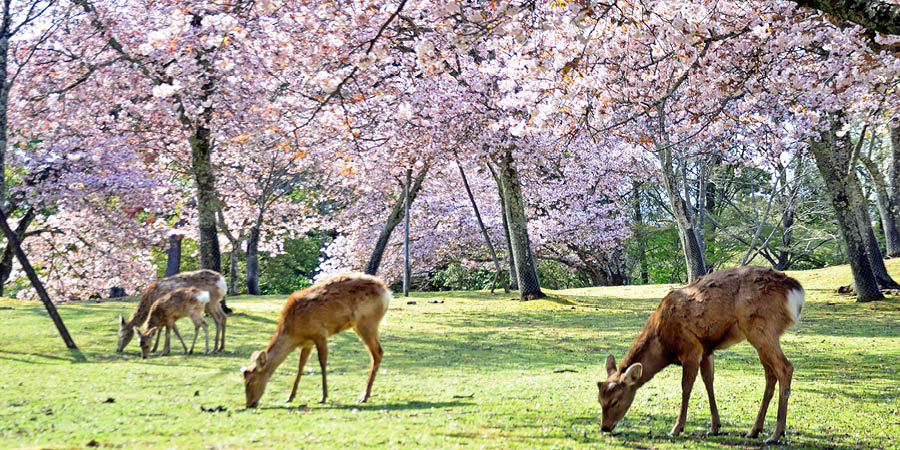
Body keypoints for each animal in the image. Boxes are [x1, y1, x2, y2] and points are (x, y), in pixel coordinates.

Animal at [241, 272, 392, 410]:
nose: (249, 404)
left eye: (249, 381)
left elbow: (322, 363)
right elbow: (300, 366)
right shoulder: (308, 343)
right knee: (377, 353)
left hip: (366, 322)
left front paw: (323, 397)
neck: (293, 333)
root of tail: (387, 293)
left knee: (377, 352)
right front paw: (290, 396)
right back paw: (366, 394)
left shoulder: (320, 333)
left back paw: (363, 396)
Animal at [596, 266, 800, 444]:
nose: (604, 427)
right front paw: (715, 427)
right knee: (770, 374)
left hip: (761, 327)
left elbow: (686, 386)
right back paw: (754, 431)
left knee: (785, 368)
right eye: (599, 400)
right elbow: (708, 381)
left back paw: (775, 434)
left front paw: (677, 428)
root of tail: (796, 291)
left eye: (614, 402)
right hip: (760, 335)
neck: (663, 344)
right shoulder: (706, 350)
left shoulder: (691, 348)